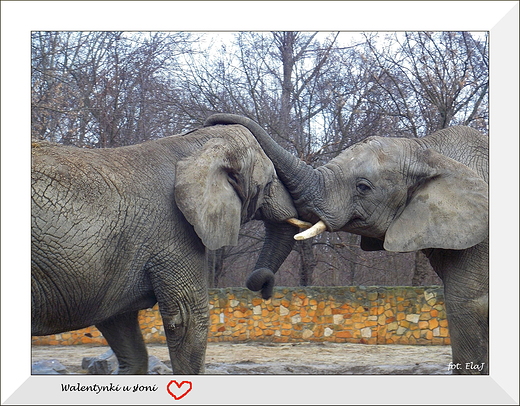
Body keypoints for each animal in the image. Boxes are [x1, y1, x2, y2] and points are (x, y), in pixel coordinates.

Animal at [30, 123, 302, 374]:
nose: (265, 289)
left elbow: (122, 330)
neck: (196, 146)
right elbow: (188, 319)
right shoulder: (174, 232)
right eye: (269, 183)